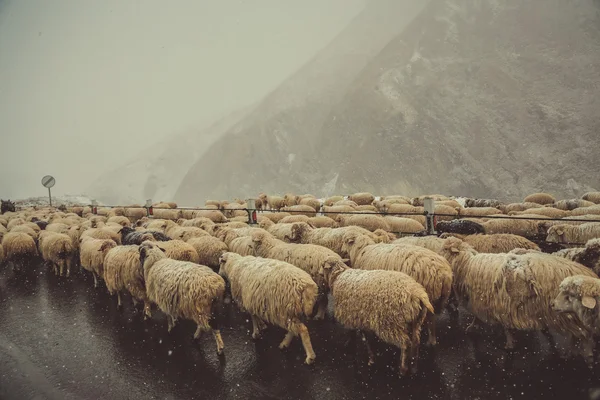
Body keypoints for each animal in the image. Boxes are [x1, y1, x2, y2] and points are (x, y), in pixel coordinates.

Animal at [440, 238, 596, 350]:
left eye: (445, 249)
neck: (467, 264)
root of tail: (588, 273)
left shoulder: (490, 301)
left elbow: (494, 322)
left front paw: (508, 343)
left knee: (584, 334)